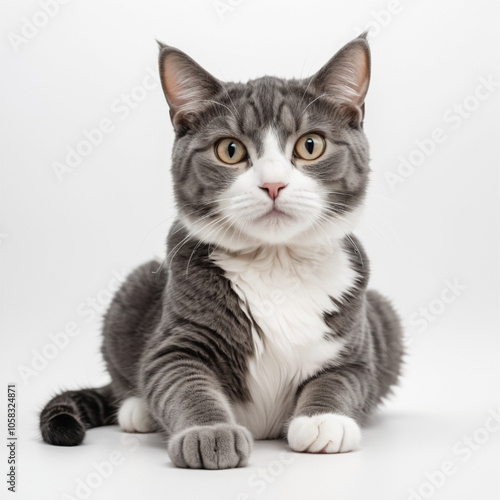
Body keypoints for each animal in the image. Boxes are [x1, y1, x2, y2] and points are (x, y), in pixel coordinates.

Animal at [41, 35, 404, 468]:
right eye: (229, 150)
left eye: (310, 145)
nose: (273, 184)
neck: (276, 262)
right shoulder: (178, 338)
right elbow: (179, 379)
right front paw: (209, 433)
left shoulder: (356, 345)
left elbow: (344, 378)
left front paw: (322, 421)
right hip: (132, 292)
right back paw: (137, 409)